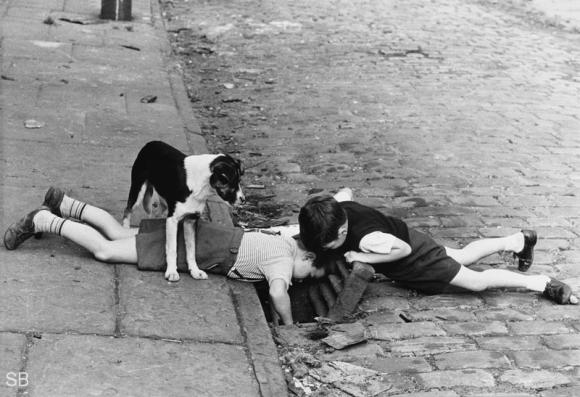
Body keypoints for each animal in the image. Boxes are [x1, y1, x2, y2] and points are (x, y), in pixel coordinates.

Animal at [123, 141, 245, 280]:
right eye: (230, 182)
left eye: (239, 182)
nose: (243, 200)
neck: (200, 186)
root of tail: (150, 143)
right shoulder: (172, 220)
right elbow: (172, 248)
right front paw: (171, 271)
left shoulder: (190, 220)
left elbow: (191, 249)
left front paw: (195, 270)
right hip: (138, 190)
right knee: (127, 210)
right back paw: (125, 227)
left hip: (163, 201)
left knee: (155, 212)